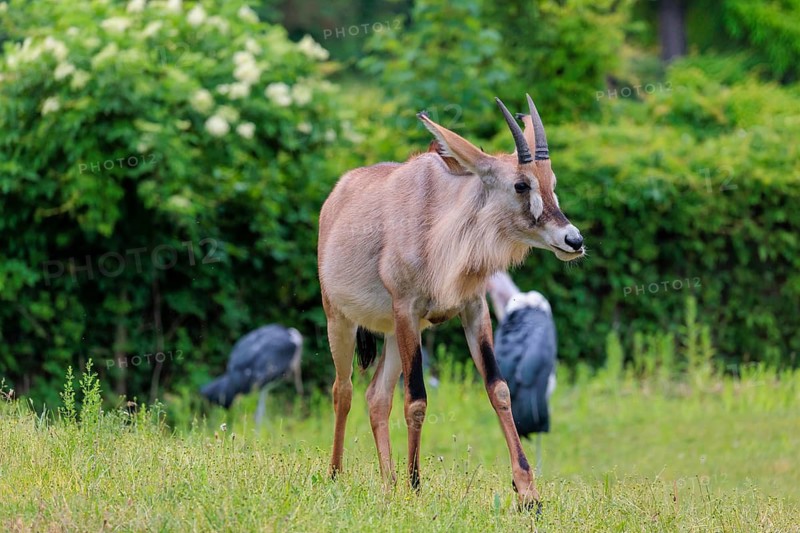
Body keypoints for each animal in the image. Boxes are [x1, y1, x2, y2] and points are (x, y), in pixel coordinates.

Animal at [317, 94, 584, 506]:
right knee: (342, 390)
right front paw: (415, 486)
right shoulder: (407, 309)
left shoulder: (473, 309)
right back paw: (336, 475)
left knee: (377, 397)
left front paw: (528, 494)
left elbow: (499, 389)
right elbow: (416, 399)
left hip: (393, 334)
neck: (438, 224)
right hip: (341, 320)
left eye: (550, 181)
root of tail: (337, 195)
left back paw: (388, 483)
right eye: (521, 185)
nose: (574, 240)